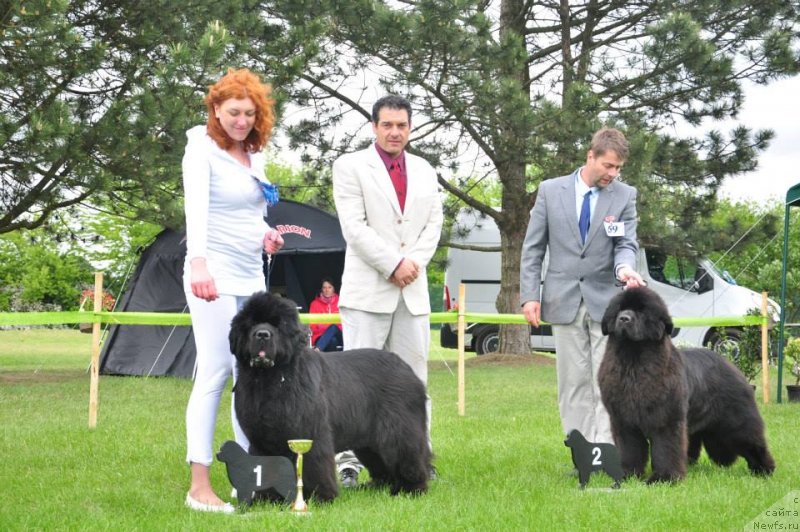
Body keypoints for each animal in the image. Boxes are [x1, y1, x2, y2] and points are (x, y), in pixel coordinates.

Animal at [228, 294, 432, 500]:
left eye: (278, 325)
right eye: (252, 323)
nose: (262, 334)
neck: (269, 378)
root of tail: (407, 369)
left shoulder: (310, 432)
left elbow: (313, 465)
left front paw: (321, 496)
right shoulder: (260, 438)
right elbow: (266, 466)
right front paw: (267, 498)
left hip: (397, 429)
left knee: (407, 454)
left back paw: (412, 489)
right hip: (368, 439)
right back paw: (378, 486)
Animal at [600, 284, 776, 484]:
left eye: (642, 311)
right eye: (619, 309)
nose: (624, 318)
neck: (633, 361)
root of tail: (730, 364)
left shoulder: (666, 419)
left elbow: (665, 449)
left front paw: (664, 478)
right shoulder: (623, 421)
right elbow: (629, 449)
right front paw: (627, 475)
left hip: (737, 422)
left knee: (753, 443)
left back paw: (764, 470)